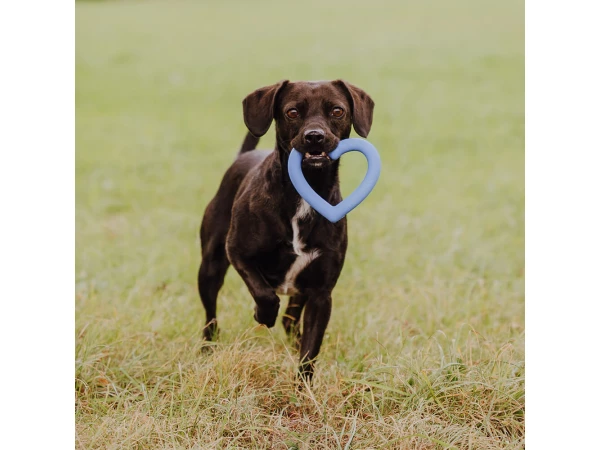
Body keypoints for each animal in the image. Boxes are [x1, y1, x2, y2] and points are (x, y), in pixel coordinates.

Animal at [199, 81, 372, 380]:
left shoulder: (321, 294)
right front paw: (263, 315)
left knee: (291, 321)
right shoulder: (238, 253)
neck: (306, 192)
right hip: (210, 267)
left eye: (337, 110)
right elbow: (264, 293)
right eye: (292, 112)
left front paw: (304, 388)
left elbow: (310, 351)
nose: (315, 137)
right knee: (211, 316)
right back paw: (208, 348)